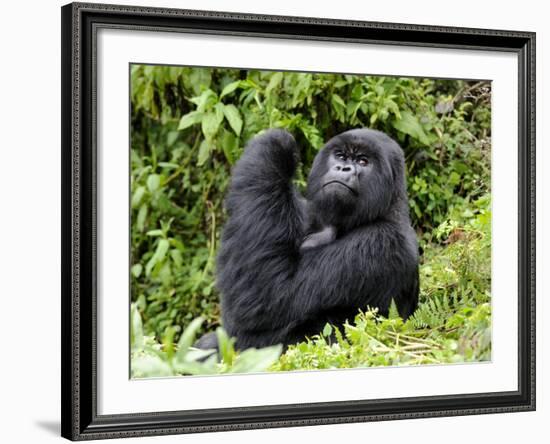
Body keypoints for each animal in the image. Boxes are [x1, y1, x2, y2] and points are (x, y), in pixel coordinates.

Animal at [197, 127, 418, 350]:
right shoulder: (307, 212)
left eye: (363, 161)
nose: (343, 168)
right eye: (340, 155)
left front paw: (277, 144)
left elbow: (269, 294)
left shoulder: (382, 243)